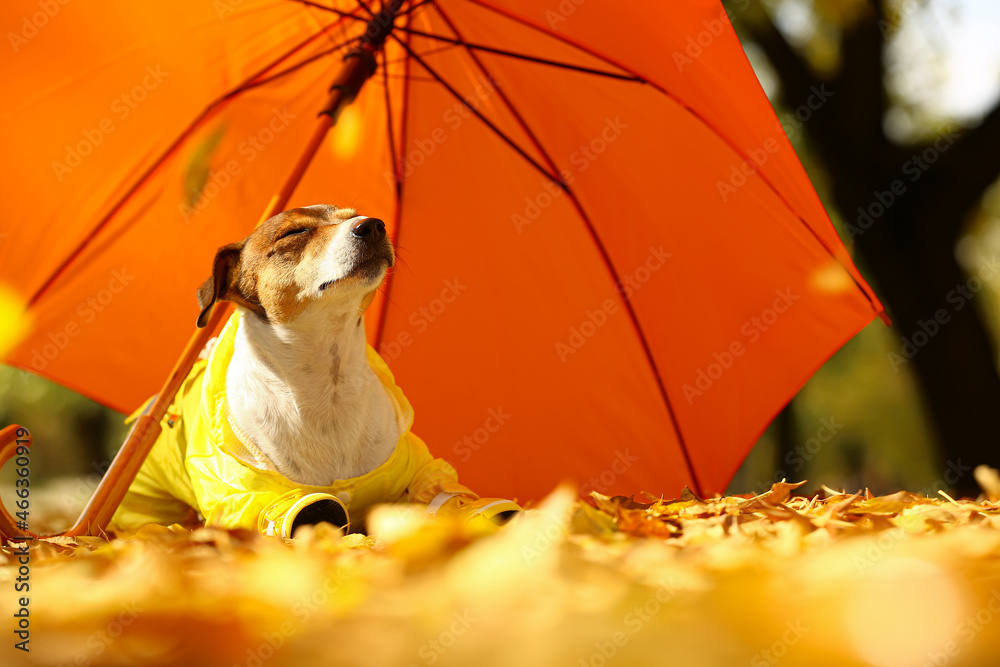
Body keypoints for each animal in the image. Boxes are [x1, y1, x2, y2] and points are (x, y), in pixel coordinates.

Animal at [113, 204, 520, 536]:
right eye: (293, 233)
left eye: (354, 213)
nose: (374, 225)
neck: (328, 385)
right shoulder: (251, 497)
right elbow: (314, 513)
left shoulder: (420, 470)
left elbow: (449, 498)